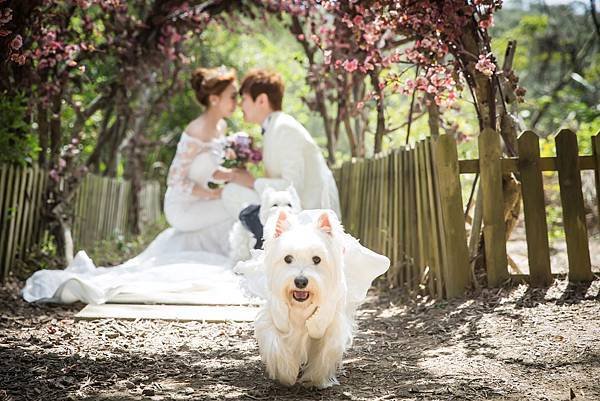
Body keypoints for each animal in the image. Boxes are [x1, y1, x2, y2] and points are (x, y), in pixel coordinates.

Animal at [252, 209, 390, 388]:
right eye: (287, 258)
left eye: (317, 259)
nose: (301, 281)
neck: (301, 307)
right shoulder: (276, 318)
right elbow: (275, 344)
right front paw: (287, 373)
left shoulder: (328, 325)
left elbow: (324, 353)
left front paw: (314, 379)